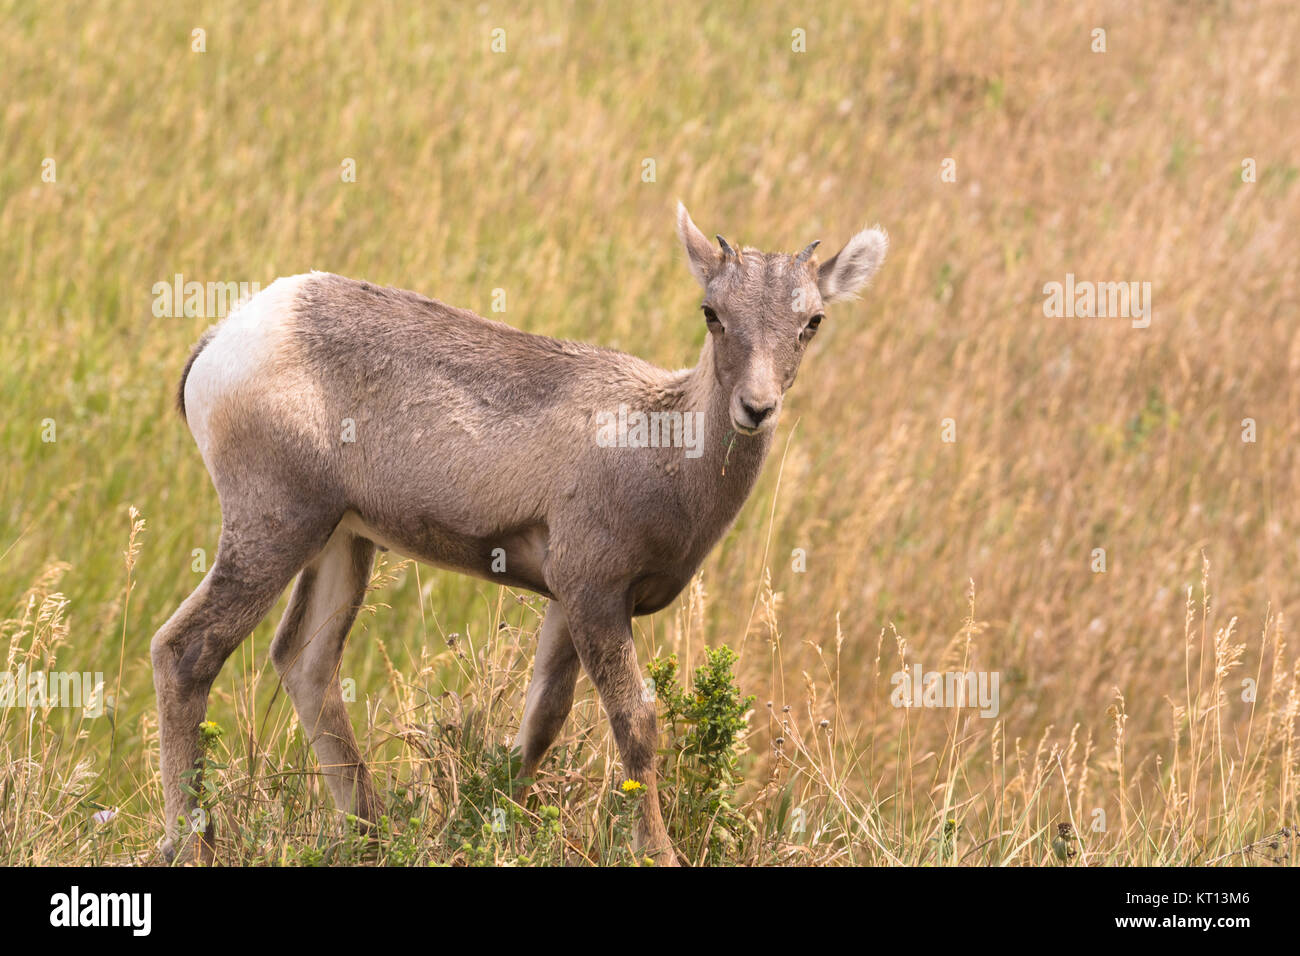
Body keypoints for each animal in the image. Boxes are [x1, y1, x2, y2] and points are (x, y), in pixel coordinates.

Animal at [149, 204, 883, 868]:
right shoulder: (595, 595)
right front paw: (658, 854)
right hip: (275, 529)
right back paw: (196, 845)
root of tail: (224, 338)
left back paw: (372, 836)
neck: (661, 451)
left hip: (342, 543)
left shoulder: (566, 605)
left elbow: (539, 726)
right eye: (713, 312)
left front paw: (478, 832)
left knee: (306, 662)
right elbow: (636, 725)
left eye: (811, 322)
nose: (757, 409)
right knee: (186, 652)